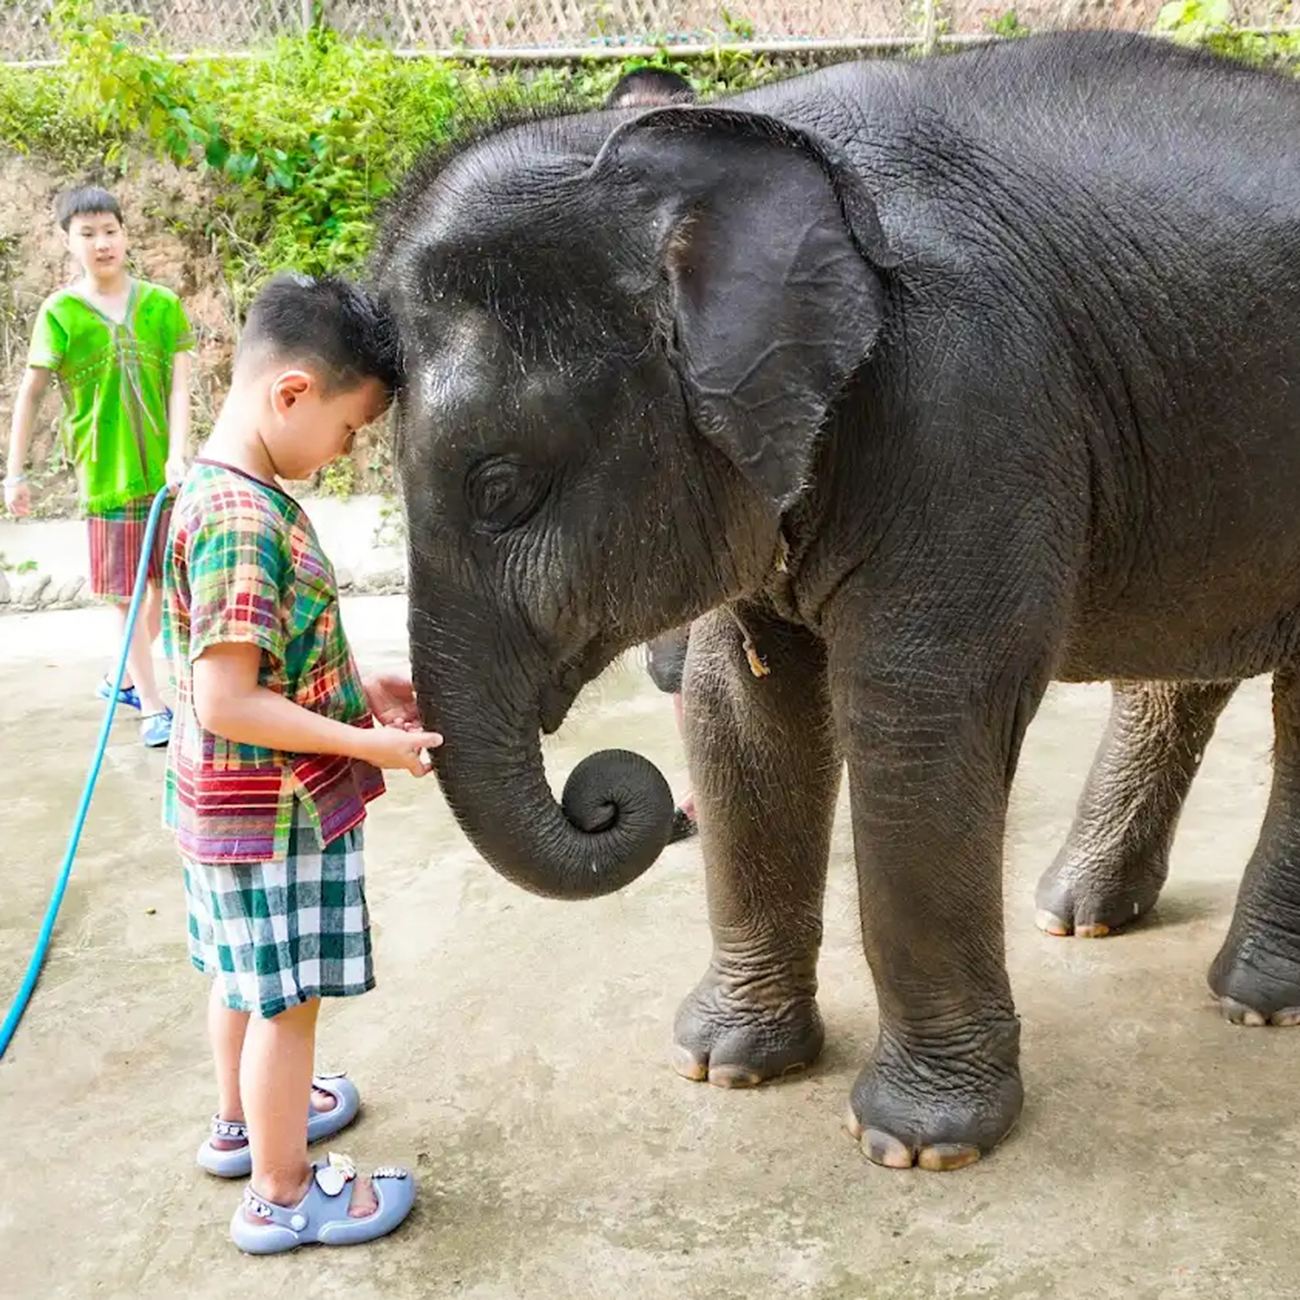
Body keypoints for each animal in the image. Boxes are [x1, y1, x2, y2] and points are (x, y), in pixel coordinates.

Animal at [377, 31, 1300, 1169]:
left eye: (500, 487)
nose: (605, 797)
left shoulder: (970, 397)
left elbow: (916, 716)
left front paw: (917, 1145)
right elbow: (741, 715)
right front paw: (726, 1066)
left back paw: (1253, 999)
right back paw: (1078, 913)